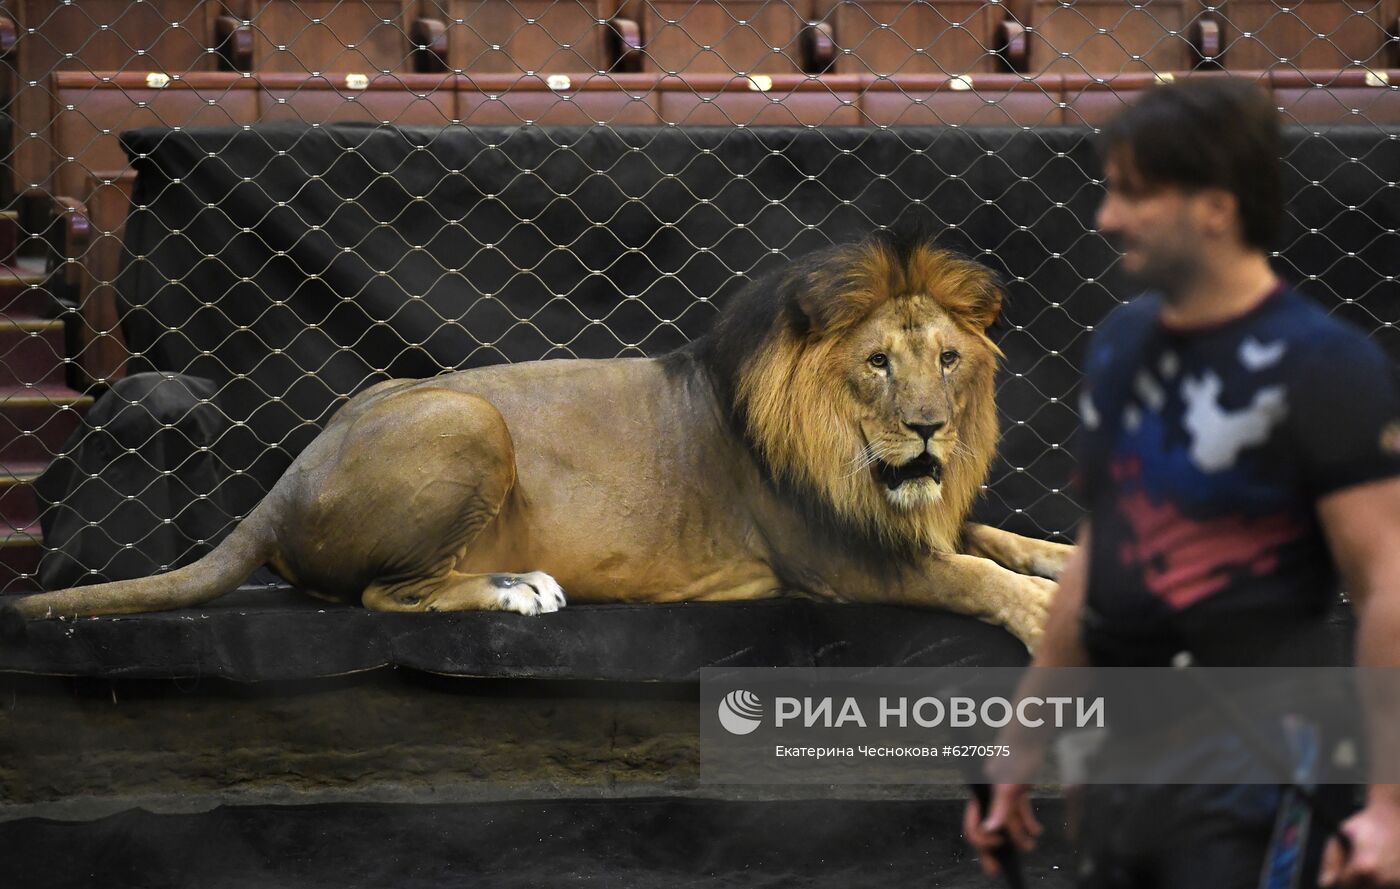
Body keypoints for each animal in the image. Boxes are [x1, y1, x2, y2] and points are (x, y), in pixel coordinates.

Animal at [2, 231, 1069, 646]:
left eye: (947, 359)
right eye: (878, 363)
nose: (929, 429)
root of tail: (291, 470)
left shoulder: (913, 519)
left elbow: (1000, 539)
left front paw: (1064, 560)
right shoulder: (841, 558)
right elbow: (976, 577)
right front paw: (1044, 611)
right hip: (465, 419)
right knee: (387, 596)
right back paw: (519, 591)